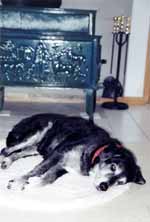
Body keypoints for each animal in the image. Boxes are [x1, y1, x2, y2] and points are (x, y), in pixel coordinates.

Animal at [0, 113, 145, 192]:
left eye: (120, 183)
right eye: (113, 167)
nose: (104, 187)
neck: (95, 150)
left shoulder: (62, 166)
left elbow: (48, 178)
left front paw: (34, 184)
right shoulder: (58, 153)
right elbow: (37, 170)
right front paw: (19, 181)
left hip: (36, 147)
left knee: (18, 153)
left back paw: (7, 161)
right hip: (33, 135)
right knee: (6, 149)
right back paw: (3, 159)